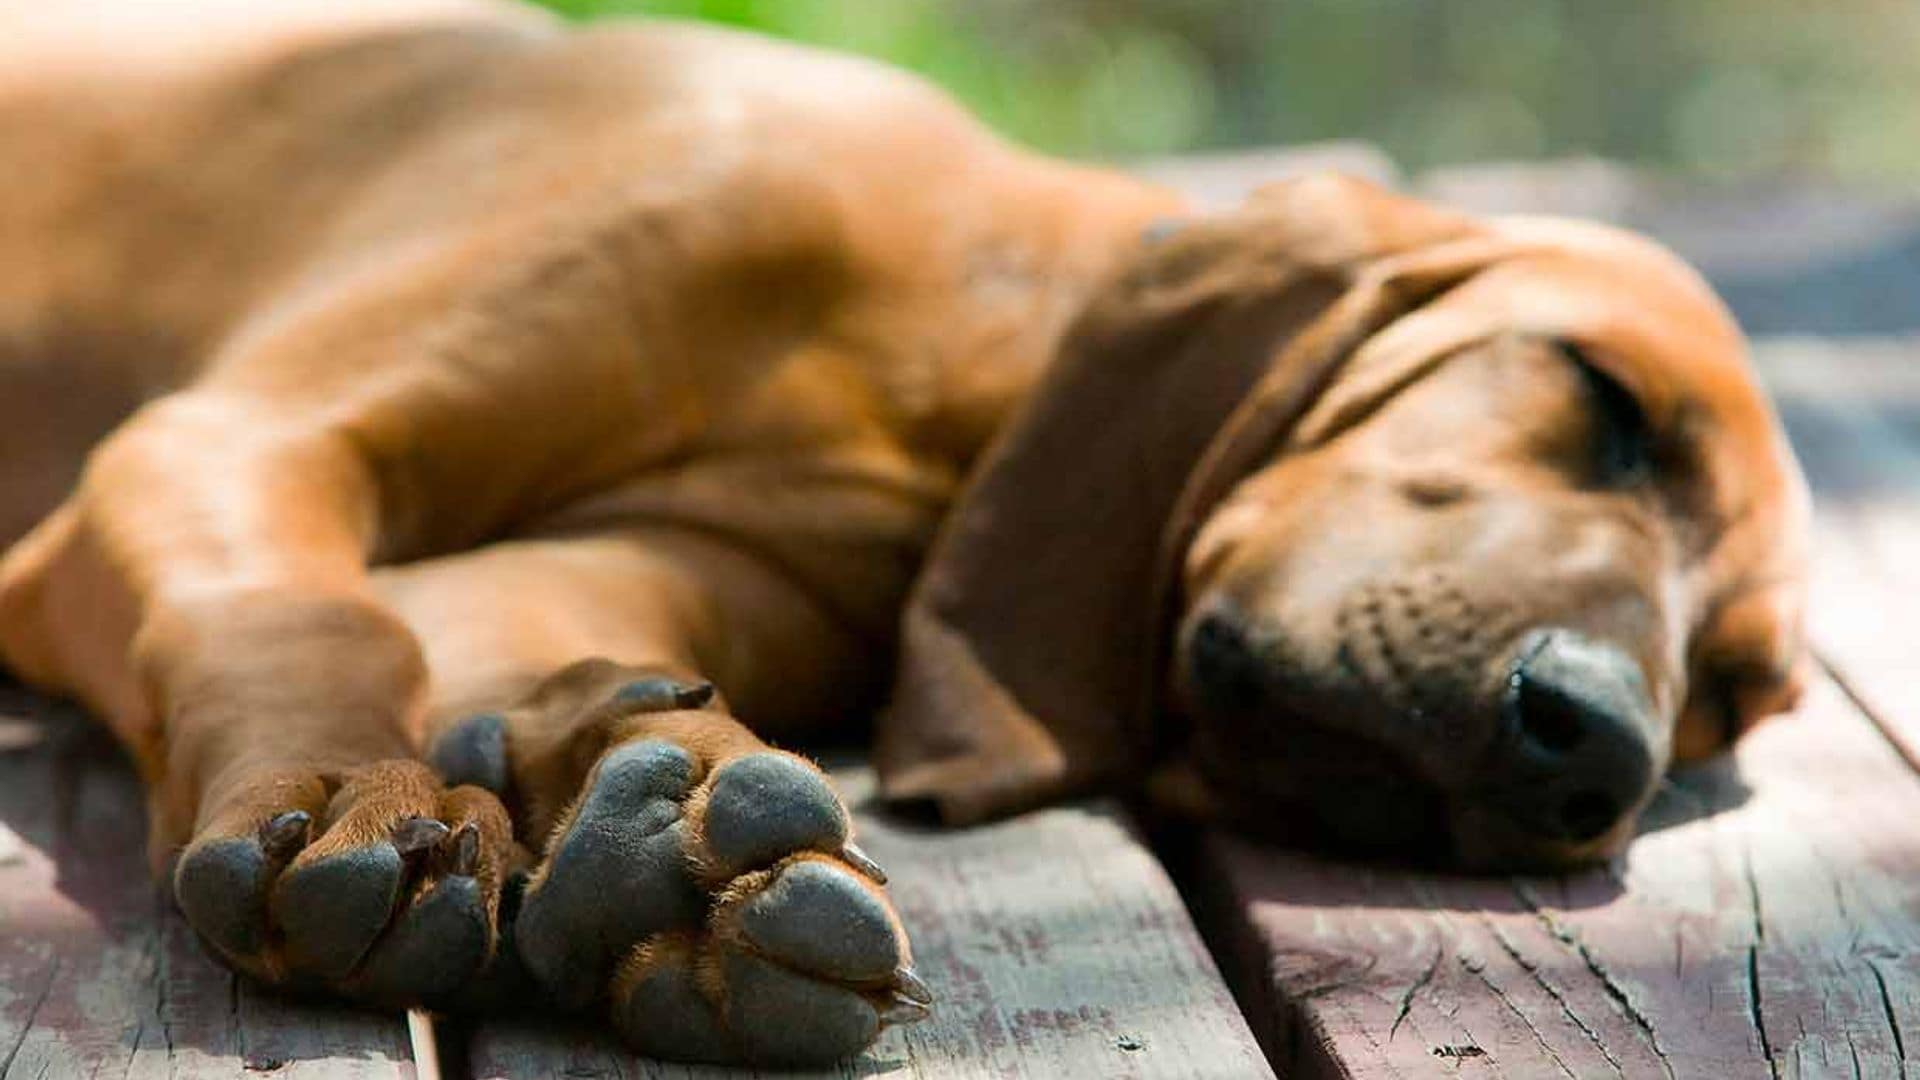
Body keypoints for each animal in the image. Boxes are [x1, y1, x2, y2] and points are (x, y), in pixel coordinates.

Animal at [0, 0, 1804, 1060]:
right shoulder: (229, 442)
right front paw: (347, 797)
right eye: (1604, 401)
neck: (945, 372)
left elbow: (498, 647)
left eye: (1733, 698)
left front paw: (666, 826)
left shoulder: (594, 576)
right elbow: (302, 615)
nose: (1592, 751)